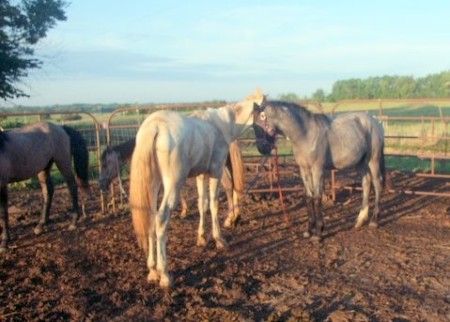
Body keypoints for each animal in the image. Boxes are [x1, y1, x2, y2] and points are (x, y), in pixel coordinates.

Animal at [0, 122, 90, 250]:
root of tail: (60, 127)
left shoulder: (2, 185)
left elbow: (3, 214)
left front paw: (4, 242)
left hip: (62, 162)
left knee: (72, 186)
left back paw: (73, 222)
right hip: (44, 168)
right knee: (48, 191)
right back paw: (41, 224)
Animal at [100, 138, 244, 226]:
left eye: (105, 164)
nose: (101, 185)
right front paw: (184, 211)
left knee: (228, 186)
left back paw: (229, 219)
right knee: (234, 186)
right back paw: (236, 216)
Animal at [128, 89, 266, 288]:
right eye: (265, 110)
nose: (266, 144)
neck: (222, 125)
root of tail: (155, 126)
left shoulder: (201, 175)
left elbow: (203, 204)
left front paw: (201, 238)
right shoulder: (216, 171)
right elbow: (214, 204)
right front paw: (219, 240)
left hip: (154, 185)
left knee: (151, 218)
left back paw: (153, 271)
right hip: (173, 184)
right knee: (161, 219)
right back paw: (165, 275)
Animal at [251, 100, 384, 242]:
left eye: (261, 124)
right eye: (253, 126)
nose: (262, 149)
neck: (306, 135)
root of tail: (375, 121)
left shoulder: (317, 170)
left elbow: (317, 197)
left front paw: (318, 233)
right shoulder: (304, 170)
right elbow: (309, 197)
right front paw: (309, 230)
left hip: (373, 160)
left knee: (377, 184)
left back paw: (374, 221)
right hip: (359, 163)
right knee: (366, 183)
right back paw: (360, 220)